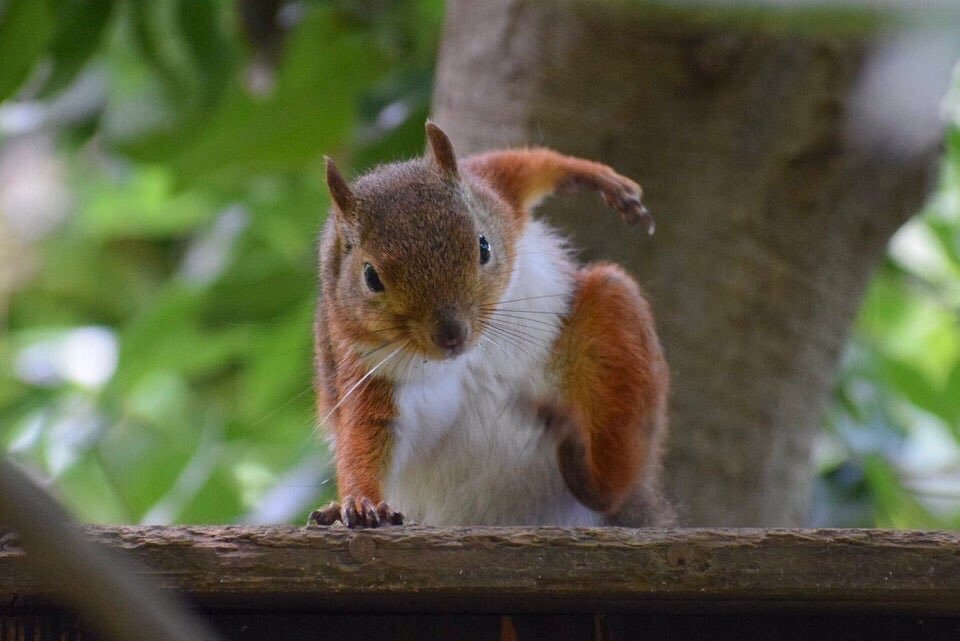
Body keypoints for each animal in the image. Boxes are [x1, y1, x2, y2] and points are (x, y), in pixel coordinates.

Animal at [312, 122, 672, 528]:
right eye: (371, 277)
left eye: (483, 246)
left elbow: (522, 165)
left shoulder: (492, 191)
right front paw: (361, 502)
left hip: (614, 321)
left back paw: (589, 469)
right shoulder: (366, 369)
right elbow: (366, 434)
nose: (451, 335)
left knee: (612, 482)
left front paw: (599, 178)